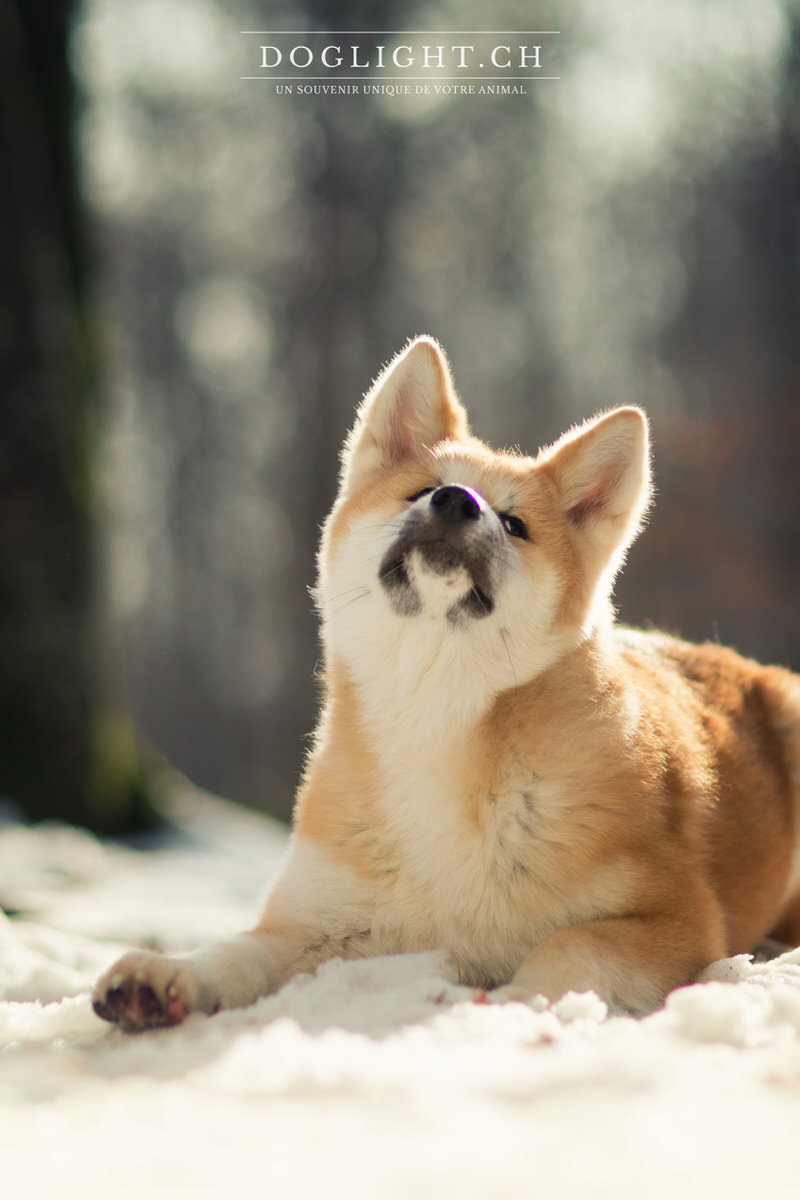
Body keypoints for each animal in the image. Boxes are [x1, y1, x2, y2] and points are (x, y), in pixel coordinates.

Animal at [92, 338, 800, 1032]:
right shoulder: (316, 923)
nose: (456, 500)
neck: (432, 717)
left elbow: (568, 945)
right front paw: (167, 975)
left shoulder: (675, 919)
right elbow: (238, 952)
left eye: (514, 524)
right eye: (422, 490)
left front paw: (523, 1005)